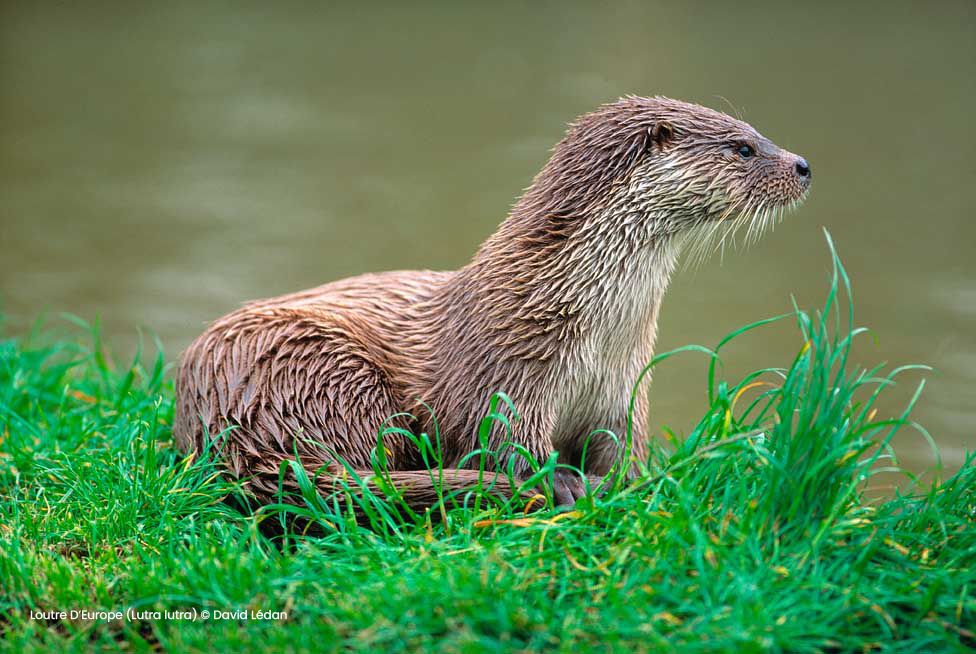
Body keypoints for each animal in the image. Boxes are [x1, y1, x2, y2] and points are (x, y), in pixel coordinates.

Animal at [173, 96, 808, 512]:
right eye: (743, 147)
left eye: (758, 131)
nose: (803, 165)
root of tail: (228, 418)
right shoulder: (506, 373)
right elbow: (501, 443)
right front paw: (561, 486)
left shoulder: (622, 388)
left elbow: (622, 451)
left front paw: (627, 481)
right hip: (322, 369)